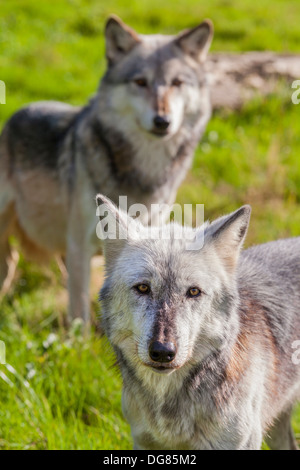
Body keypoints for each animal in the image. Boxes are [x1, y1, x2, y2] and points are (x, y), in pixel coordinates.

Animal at [0, 15, 213, 324]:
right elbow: (80, 314)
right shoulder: (79, 245)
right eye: (140, 82)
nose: (162, 121)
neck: (142, 172)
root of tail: (15, 115)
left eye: (177, 83)